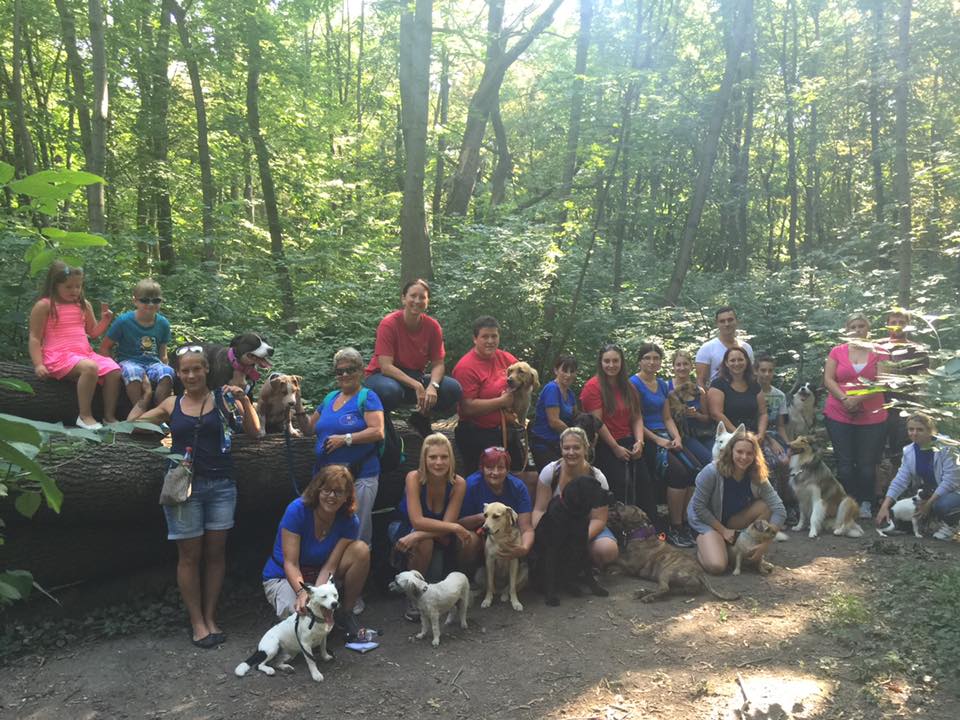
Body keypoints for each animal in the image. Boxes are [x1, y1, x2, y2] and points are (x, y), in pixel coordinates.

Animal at [532, 476, 608, 604]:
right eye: (592, 487)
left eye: (600, 484)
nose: (611, 494)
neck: (573, 515)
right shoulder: (552, 550)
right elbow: (550, 574)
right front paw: (551, 597)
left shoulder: (582, 546)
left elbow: (588, 572)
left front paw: (597, 589)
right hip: (536, 558)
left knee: (569, 577)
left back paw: (574, 587)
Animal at [608, 500, 744, 600]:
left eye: (627, 507)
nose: (617, 502)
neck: (640, 531)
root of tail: (700, 573)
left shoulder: (631, 564)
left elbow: (618, 557)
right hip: (676, 584)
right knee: (668, 590)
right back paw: (643, 592)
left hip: (666, 571)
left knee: (665, 589)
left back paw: (648, 597)